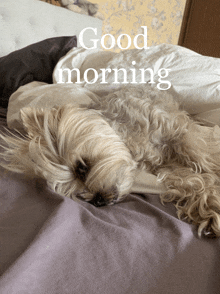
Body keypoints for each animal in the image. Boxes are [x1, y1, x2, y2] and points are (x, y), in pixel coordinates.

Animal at [0, 86, 220, 238]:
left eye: (81, 168)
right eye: (75, 193)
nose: (97, 200)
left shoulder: (178, 131)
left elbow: (201, 155)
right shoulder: (166, 168)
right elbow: (191, 181)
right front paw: (209, 209)